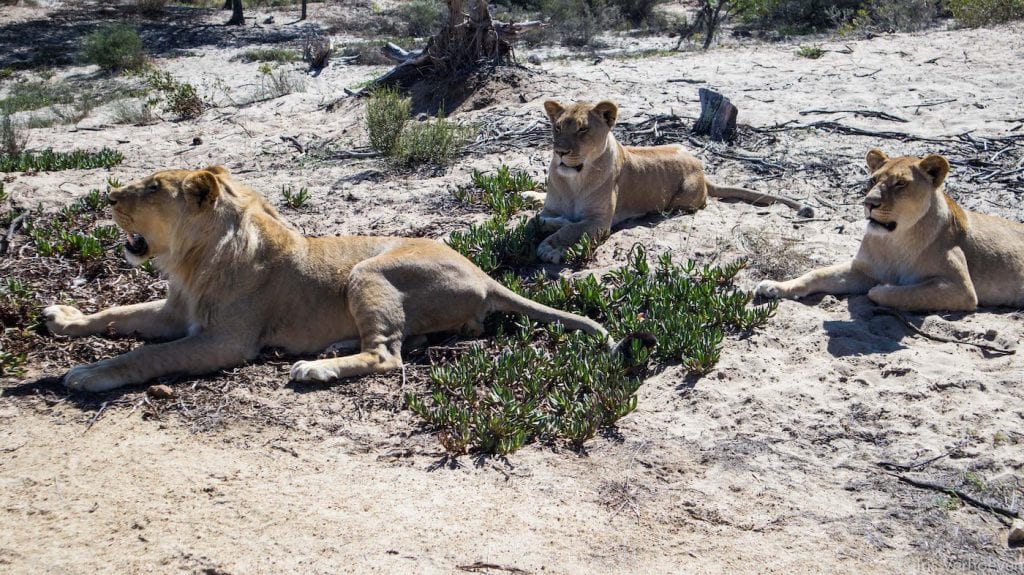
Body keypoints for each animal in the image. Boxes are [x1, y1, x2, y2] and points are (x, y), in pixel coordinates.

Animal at [44, 164, 622, 388]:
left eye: (150, 188)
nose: (108, 196)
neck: (191, 260)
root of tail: (483, 272)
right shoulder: (173, 313)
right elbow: (117, 313)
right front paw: (65, 318)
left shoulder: (226, 341)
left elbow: (146, 355)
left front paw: (89, 373)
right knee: (415, 340)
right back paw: (331, 349)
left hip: (369, 270)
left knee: (388, 356)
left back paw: (313, 368)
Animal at [528, 100, 806, 261]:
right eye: (557, 127)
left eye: (583, 129)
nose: (560, 152)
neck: (573, 181)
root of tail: (700, 166)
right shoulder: (552, 208)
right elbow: (538, 220)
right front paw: (549, 223)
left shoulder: (599, 222)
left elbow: (570, 228)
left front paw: (550, 247)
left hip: (683, 200)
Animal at [753, 147, 1024, 308]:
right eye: (873, 180)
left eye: (900, 184)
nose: (869, 203)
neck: (895, 240)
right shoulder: (862, 270)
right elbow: (816, 273)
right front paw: (775, 287)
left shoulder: (962, 290)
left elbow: (889, 292)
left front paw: (886, 287)